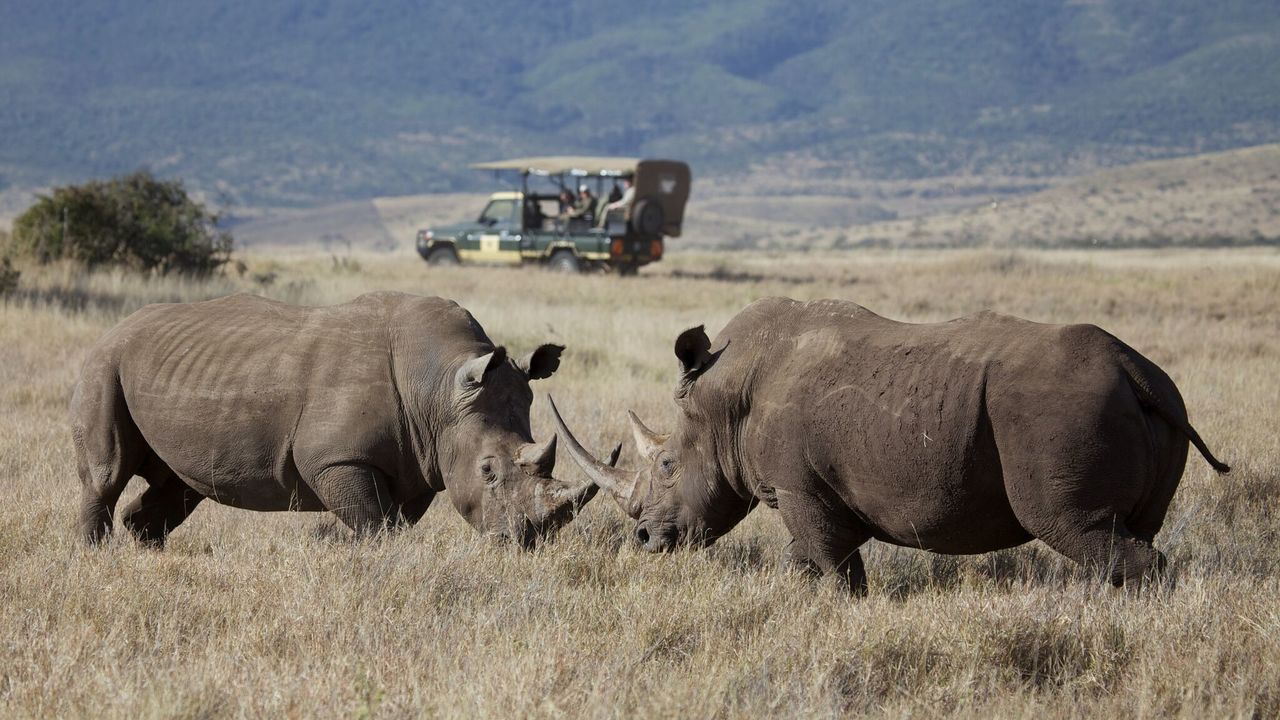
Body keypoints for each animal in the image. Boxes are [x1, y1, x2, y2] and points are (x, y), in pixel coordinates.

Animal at [72, 288, 601, 545]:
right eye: (488, 470)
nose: (525, 541)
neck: (440, 388)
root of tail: (111, 330)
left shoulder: (419, 461)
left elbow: (394, 521)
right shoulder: (336, 458)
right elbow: (375, 524)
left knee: (180, 485)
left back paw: (146, 548)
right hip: (104, 366)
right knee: (107, 473)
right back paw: (96, 556)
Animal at [555, 295, 1233, 589]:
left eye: (669, 464)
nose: (645, 540)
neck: (724, 401)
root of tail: (1135, 371)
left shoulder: (799, 488)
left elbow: (828, 564)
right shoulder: (825, 492)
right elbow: (820, 561)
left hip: (1061, 412)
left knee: (1070, 523)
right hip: (1156, 401)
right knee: (1123, 530)